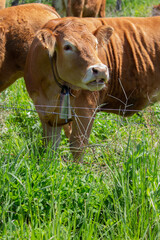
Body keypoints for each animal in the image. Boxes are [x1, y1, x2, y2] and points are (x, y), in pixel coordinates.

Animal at [24, 16, 160, 159]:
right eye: (67, 46)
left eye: (95, 45)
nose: (100, 70)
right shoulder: (45, 112)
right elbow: (51, 146)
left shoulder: (86, 110)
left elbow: (77, 146)